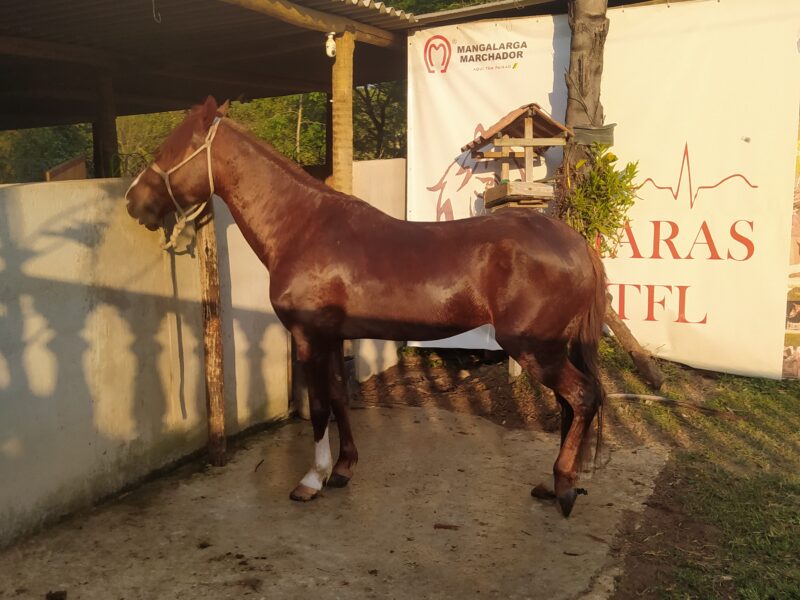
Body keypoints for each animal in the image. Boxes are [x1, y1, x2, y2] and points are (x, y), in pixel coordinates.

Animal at [125, 96, 607, 518]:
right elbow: (340, 397)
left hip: (535, 348)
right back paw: (554, 485)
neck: (302, 227)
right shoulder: (335, 337)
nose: (133, 201)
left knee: (582, 397)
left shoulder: (309, 336)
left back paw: (564, 488)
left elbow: (320, 406)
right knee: (570, 405)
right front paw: (342, 469)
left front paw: (312, 479)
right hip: (552, 348)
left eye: (169, 149)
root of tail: (575, 243)